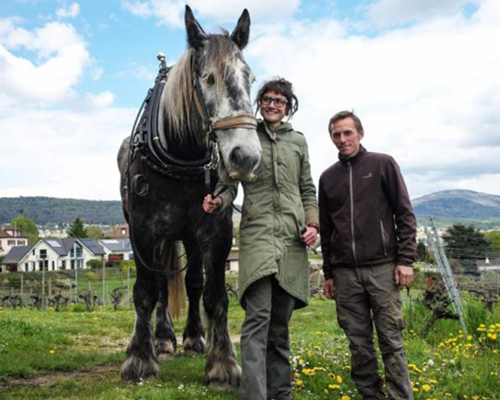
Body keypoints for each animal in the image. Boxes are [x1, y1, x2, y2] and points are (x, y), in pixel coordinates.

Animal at [117, 5, 262, 388]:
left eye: (251, 78)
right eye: (208, 78)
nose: (245, 156)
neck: (181, 155)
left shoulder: (217, 230)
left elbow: (214, 296)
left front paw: (222, 363)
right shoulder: (142, 231)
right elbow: (146, 292)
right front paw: (140, 358)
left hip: (189, 237)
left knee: (193, 283)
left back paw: (195, 337)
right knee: (161, 285)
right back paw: (164, 339)